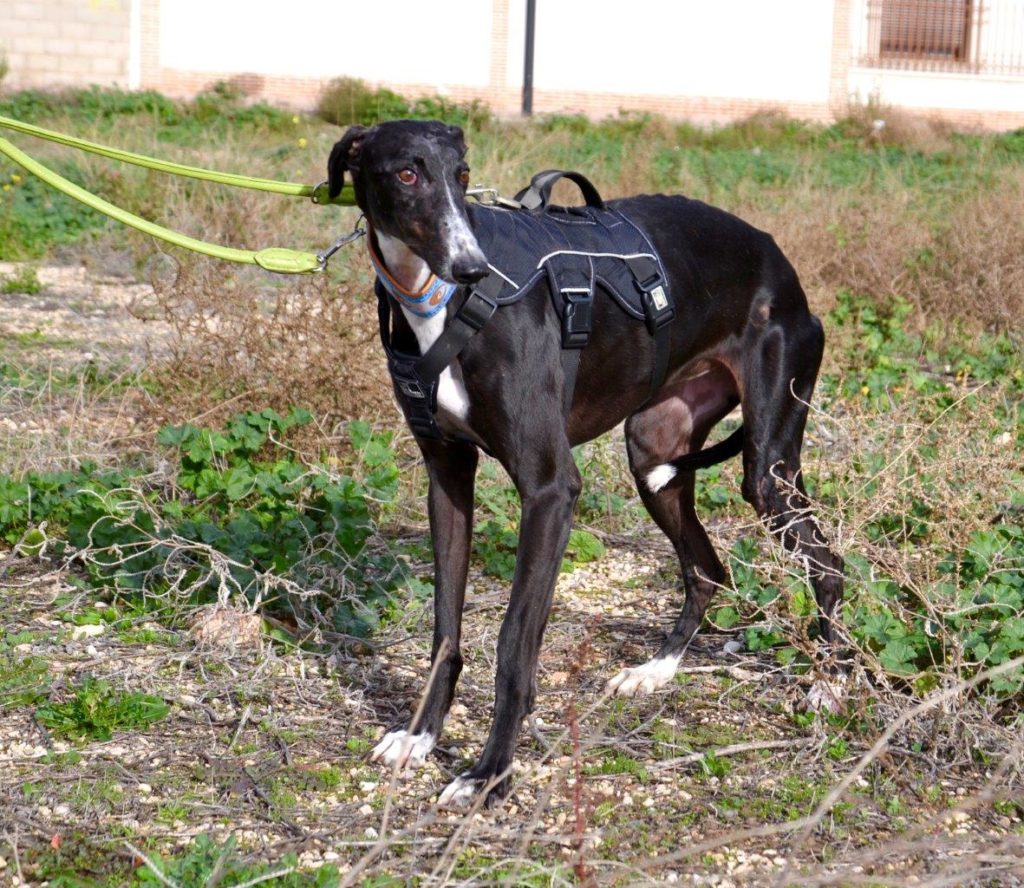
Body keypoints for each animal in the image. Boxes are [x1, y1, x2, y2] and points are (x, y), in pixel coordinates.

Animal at [329, 118, 847, 807]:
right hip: (655, 449)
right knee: (706, 568)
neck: (433, 301)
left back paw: (830, 681)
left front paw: (488, 774)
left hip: (769, 467)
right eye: (407, 173)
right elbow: (445, 628)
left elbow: (514, 644)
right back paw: (655, 670)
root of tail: (781, 263)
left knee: (827, 562)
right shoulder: (447, 477)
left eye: (462, 174)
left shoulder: (550, 490)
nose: (470, 268)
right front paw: (420, 736)